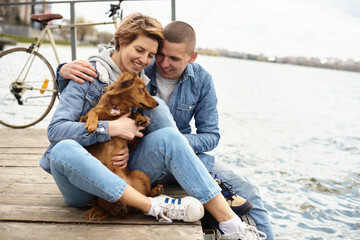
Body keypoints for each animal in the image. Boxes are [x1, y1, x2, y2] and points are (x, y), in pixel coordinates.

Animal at [80, 71, 163, 221]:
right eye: (142, 89)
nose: (157, 103)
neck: (117, 108)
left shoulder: (132, 138)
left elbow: (134, 114)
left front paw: (141, 119)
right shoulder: (84, 119)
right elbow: (93, 112)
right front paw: (92, 124)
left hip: (141, 175)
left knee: (143, 197)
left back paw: (154, 191)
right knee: (111, 207)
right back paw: (118, 208)